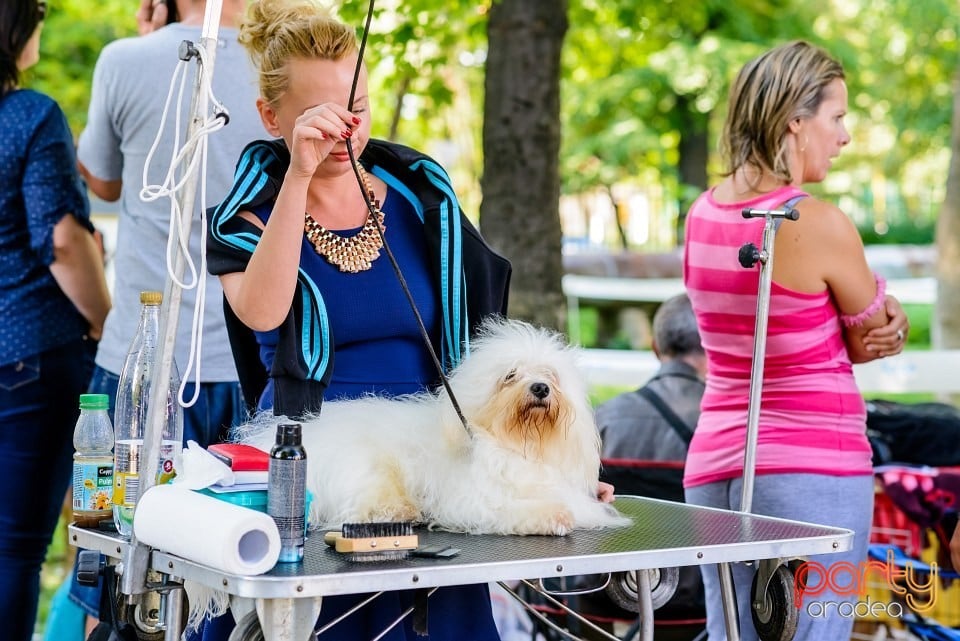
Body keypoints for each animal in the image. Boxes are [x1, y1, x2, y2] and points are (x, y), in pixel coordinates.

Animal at [240, 318, 632, 536]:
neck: (515, 445)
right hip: (362, 469)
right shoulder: (474, 500)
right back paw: (402, 511)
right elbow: (512, 509)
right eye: (510, 375)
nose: (540, 388)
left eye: (550, 375)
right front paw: (550, 515)